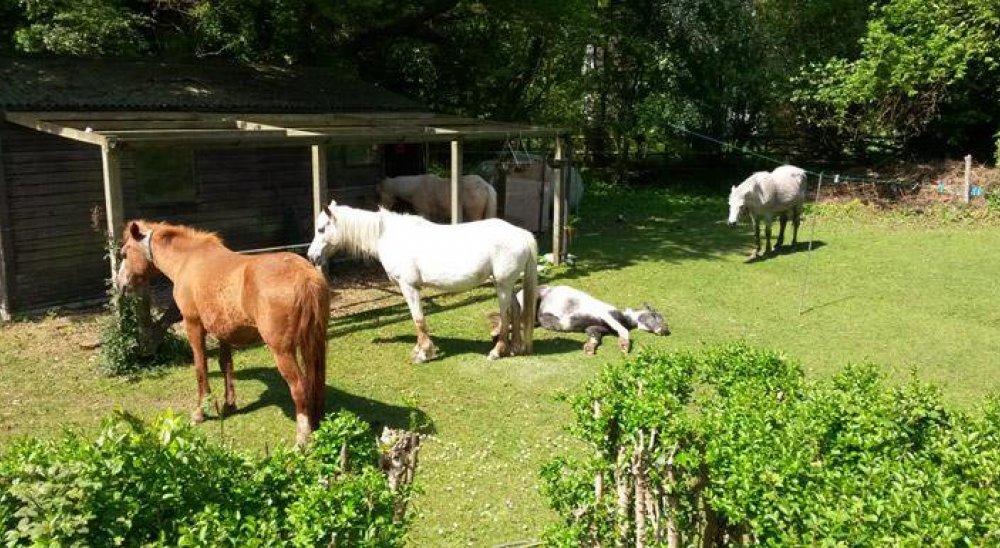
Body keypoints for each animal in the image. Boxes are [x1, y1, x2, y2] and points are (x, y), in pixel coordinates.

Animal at [115, 220, 328, 448]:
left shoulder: (193, 325)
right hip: (315, 342)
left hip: (282, 351)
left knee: (299, 387)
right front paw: (229, 405)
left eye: (125, 253)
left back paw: (302, 439)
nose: (121, 285)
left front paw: (200, 412)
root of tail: (304, 276)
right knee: (316, 383)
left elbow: (201, 368)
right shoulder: (224, 332)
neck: (188, 259)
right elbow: (226, 365)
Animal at [306, 201, 536, 364]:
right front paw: (419, 349)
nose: (311, 256)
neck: (390, 237)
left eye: (321, 229)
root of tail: (522, 234)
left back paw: (497, 351)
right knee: (517, 311)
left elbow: (418, 319)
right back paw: (515, 348)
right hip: (506, 284)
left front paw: (423, 353)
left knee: (506, 315)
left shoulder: (408, 287)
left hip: (503, 285)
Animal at [486, 284, 668, 358]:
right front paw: (624, 346)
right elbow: (624, 331)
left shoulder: (593, 328)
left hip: (535, 320)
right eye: (656, 315)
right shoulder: (607, 316)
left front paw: (589, 348)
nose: (665, 331)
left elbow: (595, 339)